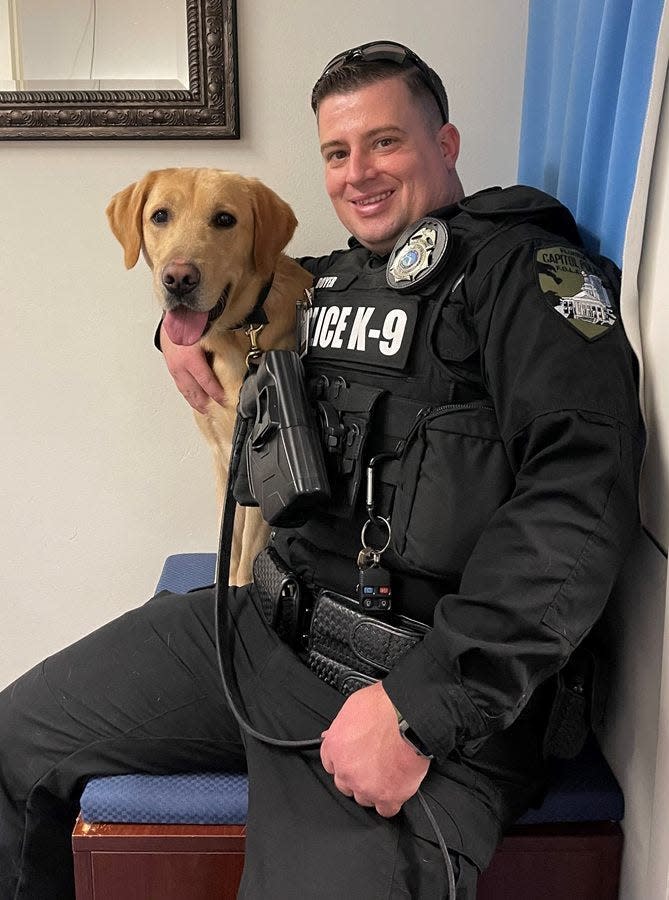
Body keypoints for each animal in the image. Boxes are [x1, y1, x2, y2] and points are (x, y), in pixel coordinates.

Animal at [106, 171, 310, 584]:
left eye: (225, 220)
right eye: (160, 215)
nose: (178, 279)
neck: (241, 331)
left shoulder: (259, 469)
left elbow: (246, 558)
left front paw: (238, 589)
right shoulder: (224, 458)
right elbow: (228, 542)